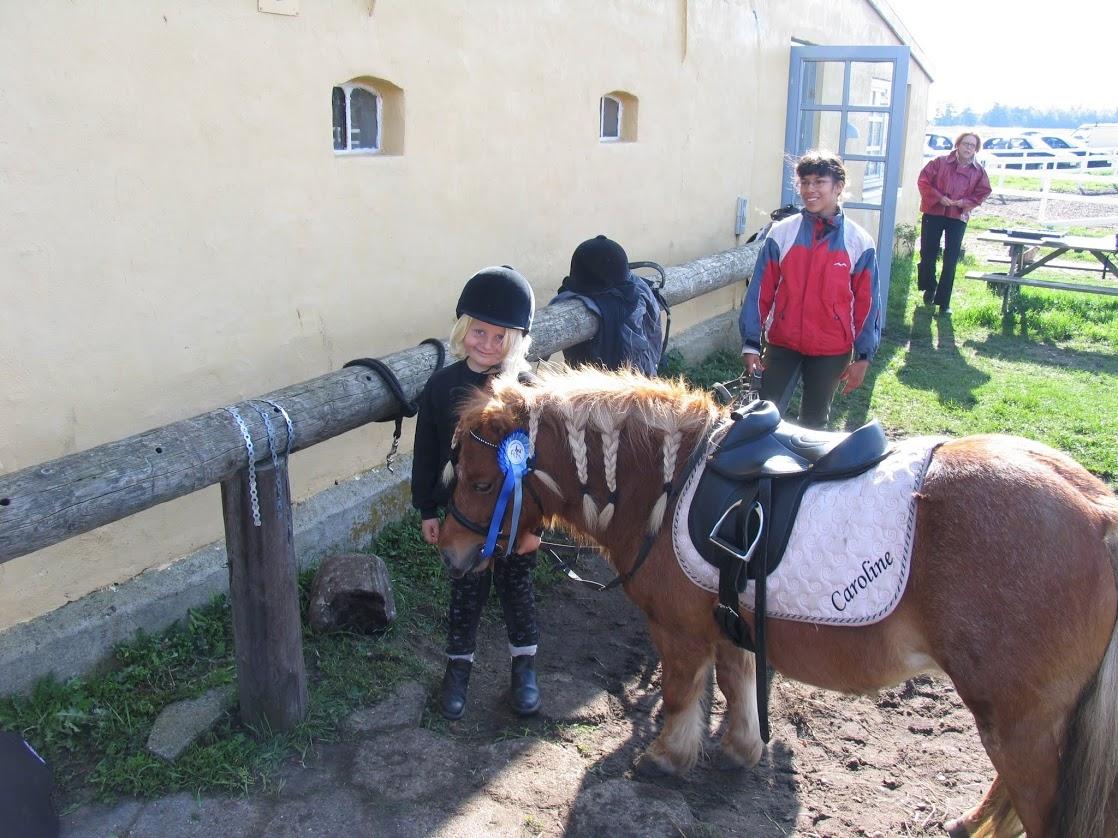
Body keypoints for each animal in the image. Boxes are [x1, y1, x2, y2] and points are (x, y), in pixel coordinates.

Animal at [440, 368, 1118, 838]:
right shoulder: (729, 622)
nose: (449, 551)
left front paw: (667, 759)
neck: (665, 484)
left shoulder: (679, 631)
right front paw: (741, 751)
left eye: (481, 481)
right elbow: (738, 683)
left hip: (1019, 722)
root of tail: (1099, 512)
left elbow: (683, 693)